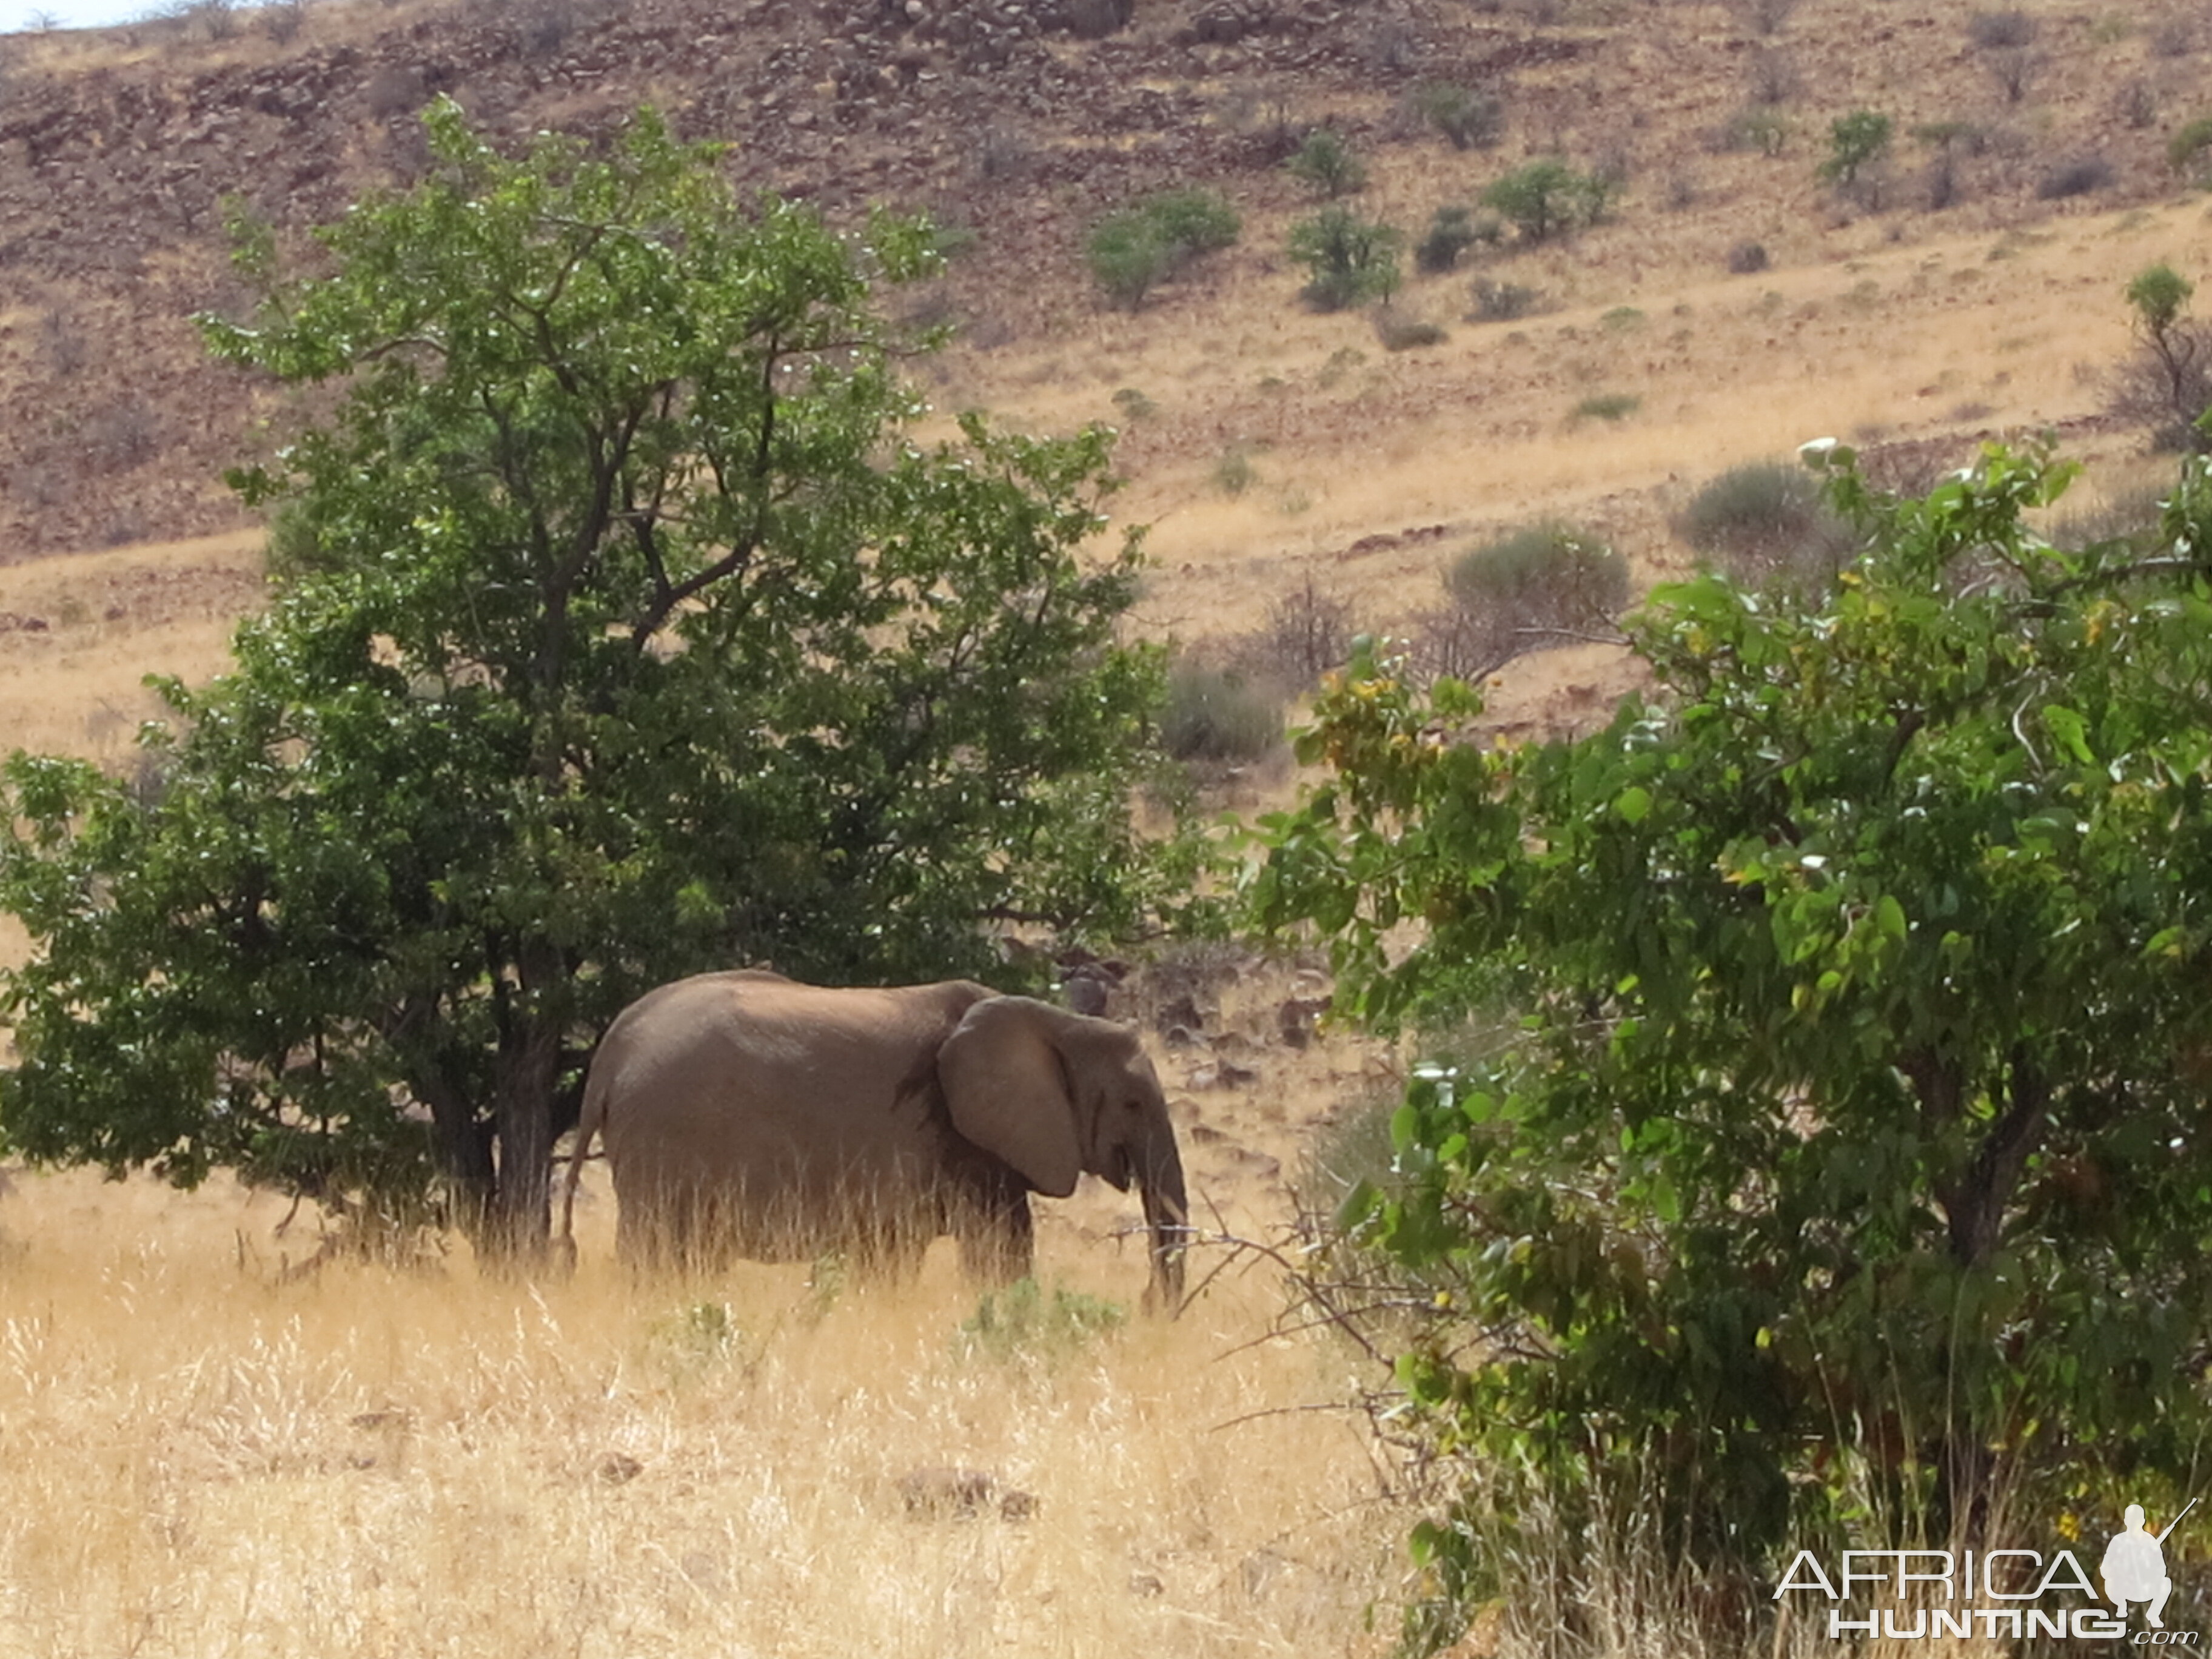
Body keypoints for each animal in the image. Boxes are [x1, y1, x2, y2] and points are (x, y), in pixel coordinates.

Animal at [561, 973, 1194, 1309]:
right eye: (1133, 1104)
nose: (1145, 1303)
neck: (1056, 1021)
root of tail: (612, 1051)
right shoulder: (960, 1137)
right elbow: (997, 1248)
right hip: (666, 1138)